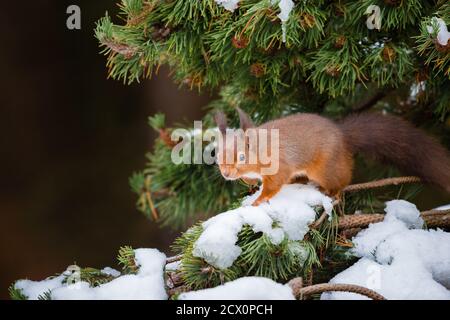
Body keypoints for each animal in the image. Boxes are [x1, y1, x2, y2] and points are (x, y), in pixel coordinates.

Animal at [214, 109, 450, 206]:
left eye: (242, 157)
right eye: (217, 156)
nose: (225, 174)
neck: (260, 147)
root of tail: (343, 136)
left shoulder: (278, 164)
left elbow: (274, 183)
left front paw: (259, 199)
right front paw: (250, 184)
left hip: (325, 168)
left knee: (342, 178)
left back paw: (334, 191)